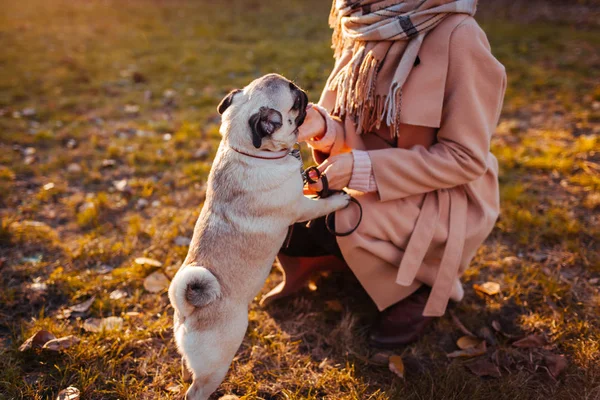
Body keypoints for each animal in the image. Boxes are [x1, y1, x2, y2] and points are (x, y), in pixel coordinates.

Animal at [169, 73, 350, 398]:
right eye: (295, 100)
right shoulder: (299, 207)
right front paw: (339, 199)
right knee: (196, 390)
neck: (250, 151)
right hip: (219, 361)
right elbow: (320, 204)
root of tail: (189, 311)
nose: (303, 90)